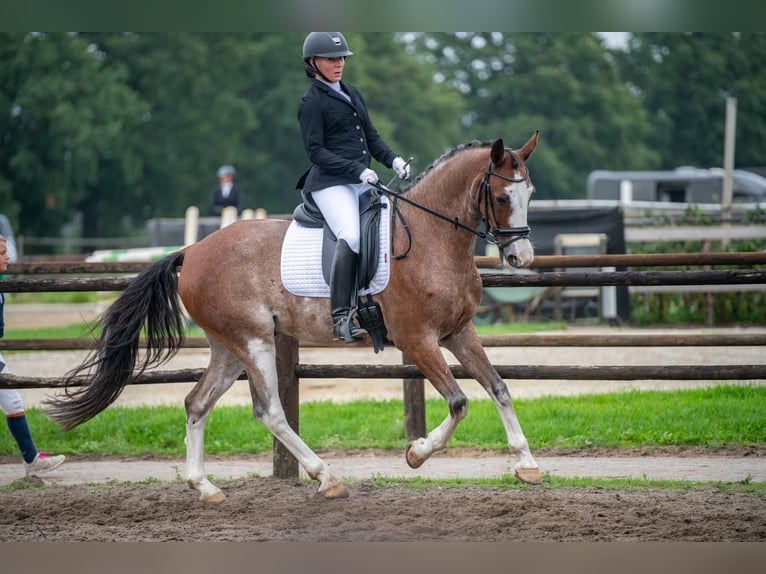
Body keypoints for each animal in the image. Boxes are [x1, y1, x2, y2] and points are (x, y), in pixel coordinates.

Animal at [45, 132, 542, 503]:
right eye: (502, 196)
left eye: (530, 193)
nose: (521, 258)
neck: (429, 238)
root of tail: (192, 251)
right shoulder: (417, 339)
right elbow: (459, 402)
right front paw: (417, 453)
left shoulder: (459, 332)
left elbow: (498, 387)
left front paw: (527, 464)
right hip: (254, 342)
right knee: (270, 412)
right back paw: (326, 477)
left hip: (228, 348)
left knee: (197, 403)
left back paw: (205, 487)